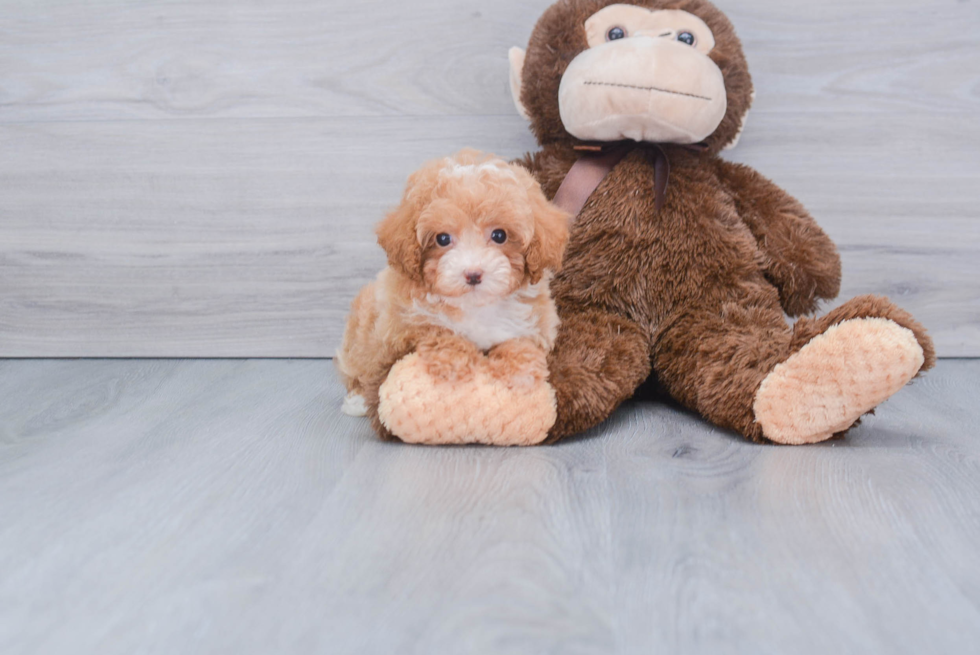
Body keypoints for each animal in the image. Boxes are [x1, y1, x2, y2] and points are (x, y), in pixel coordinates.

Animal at [336, 146, 568, 438]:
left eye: (500, 235)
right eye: (442, 239)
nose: (473, 274)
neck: (475, 306)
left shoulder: (536, 323)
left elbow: (520, 341)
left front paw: (520, 368)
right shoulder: (402, 326)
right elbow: (437, 330)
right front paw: (454, 361)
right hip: (361, 336)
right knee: (358, 371)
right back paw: (355, 401)